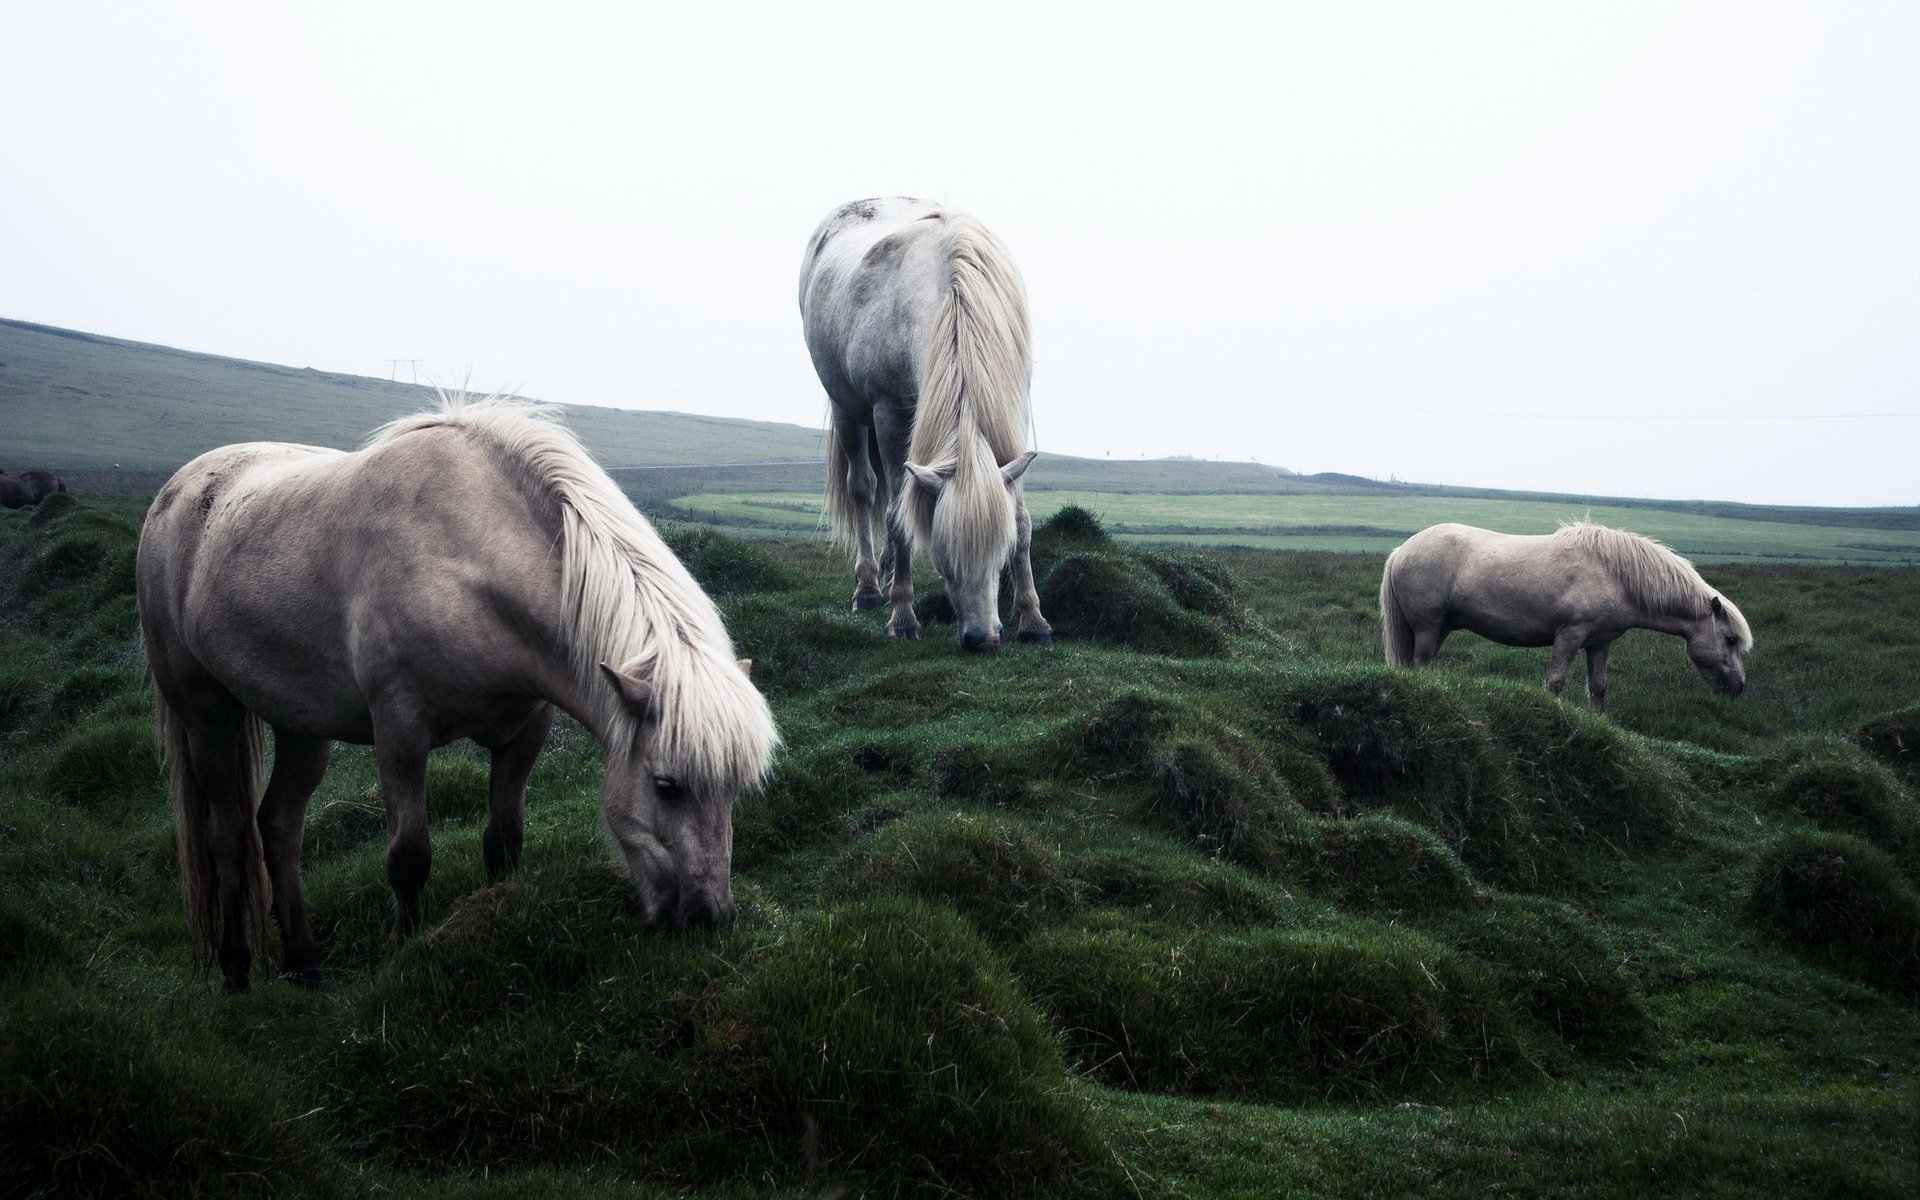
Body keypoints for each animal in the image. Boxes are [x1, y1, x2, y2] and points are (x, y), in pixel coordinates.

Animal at [136, 397, 779, 993]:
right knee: (227, 835)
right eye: (666, 786)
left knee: (278, 827)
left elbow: (504, 841)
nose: (709, 918)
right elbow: (408, 858)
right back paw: (236, 972)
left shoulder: (524, 731)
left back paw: (306, 968)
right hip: (206, 713)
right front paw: (402, 957)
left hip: (302, 725)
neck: (464, 561)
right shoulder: (399, 733)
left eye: (736, 790)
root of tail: (174, 490)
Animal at [799, 197, 1051, 652]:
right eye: (944, 556)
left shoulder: (1012, 413)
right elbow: (898, 518)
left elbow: (1022, 520)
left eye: (999, 553)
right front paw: (903, 617)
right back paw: (869, 588)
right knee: (864, 488)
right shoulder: (889, 415)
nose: (982, 639)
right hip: (849, 411)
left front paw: (1033, 619)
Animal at [1379, 519, 1752, 713]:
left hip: (1440, 628)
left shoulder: (1600, 643)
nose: (1739, 688)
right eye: (1730, 639)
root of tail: (1401, 551)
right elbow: (1555, 682)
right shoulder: (1569, 636)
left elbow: (1598, 687)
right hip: (1428, 628)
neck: (1615, 575)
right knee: (1420, 664)